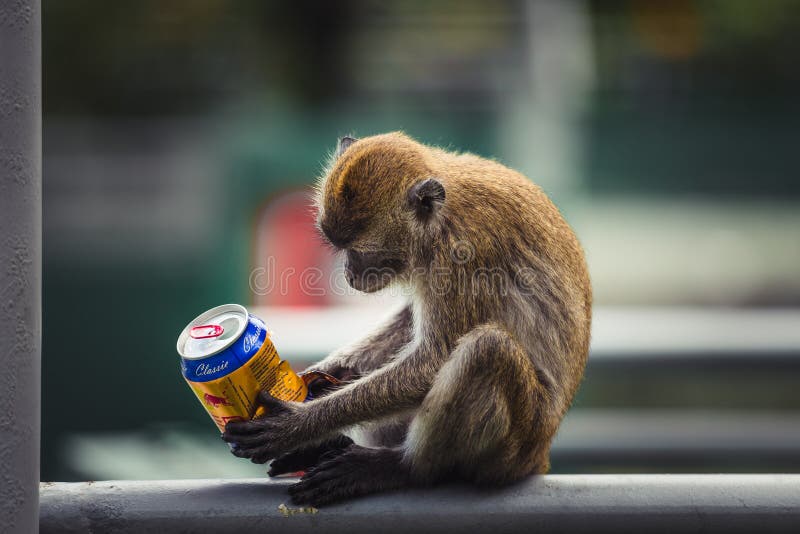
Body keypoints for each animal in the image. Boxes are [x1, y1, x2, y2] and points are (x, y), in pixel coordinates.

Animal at [222, 132, 592, 508]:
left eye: (359, 250)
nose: (349, 273)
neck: (439, 218)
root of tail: (539, 455)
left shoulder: (462, 254)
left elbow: (434, 361)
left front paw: (296, 424)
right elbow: (408, 320)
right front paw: (322, 378)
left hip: (517, 445)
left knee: (487, 349)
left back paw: (400, 467)